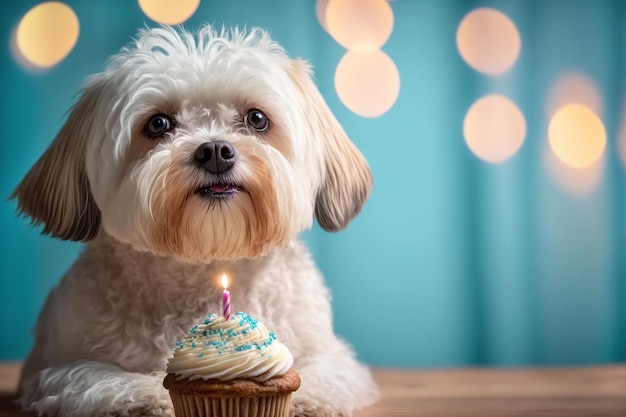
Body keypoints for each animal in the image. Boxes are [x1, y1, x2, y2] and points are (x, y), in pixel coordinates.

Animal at [12, 25, 378, 416]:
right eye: (158, 124)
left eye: (257, 119)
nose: (215, 150)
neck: (205, 264)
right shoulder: (60, 370)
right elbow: (101, 381)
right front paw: (149, 396)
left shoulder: (330, 353)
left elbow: (323, 373)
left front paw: (308, 399)